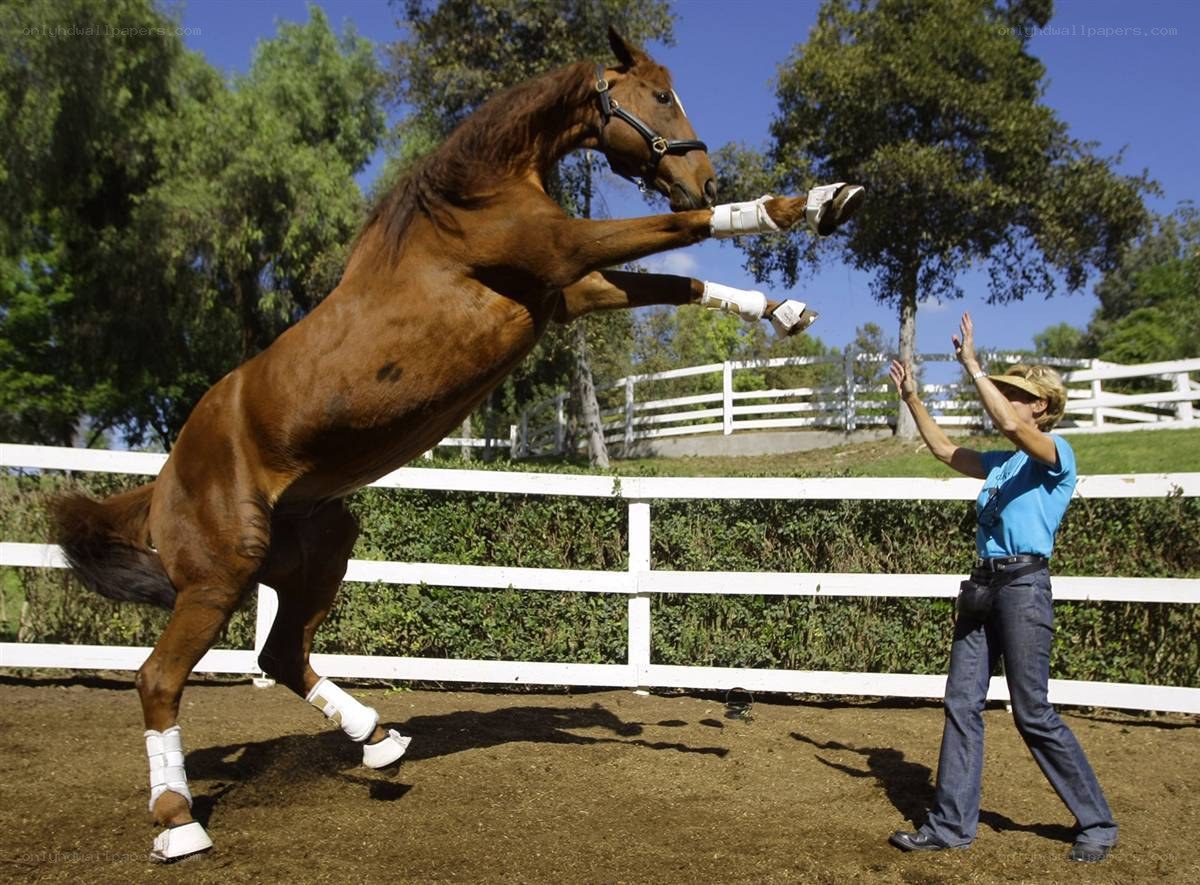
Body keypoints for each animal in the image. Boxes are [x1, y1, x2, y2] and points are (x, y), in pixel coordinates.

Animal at [50, 28, 863, 862]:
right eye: (662, 96)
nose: (702, 178)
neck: (472, 198)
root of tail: (165, 475)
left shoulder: (567, 290)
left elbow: (681, 283)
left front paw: (785, 308)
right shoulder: (565, 254)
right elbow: (682, 240)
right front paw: (811, 202)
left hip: (321, 545)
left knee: (280, 653)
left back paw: (378, 739)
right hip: (220, 573)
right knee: (158, 678)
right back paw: (178, 820)